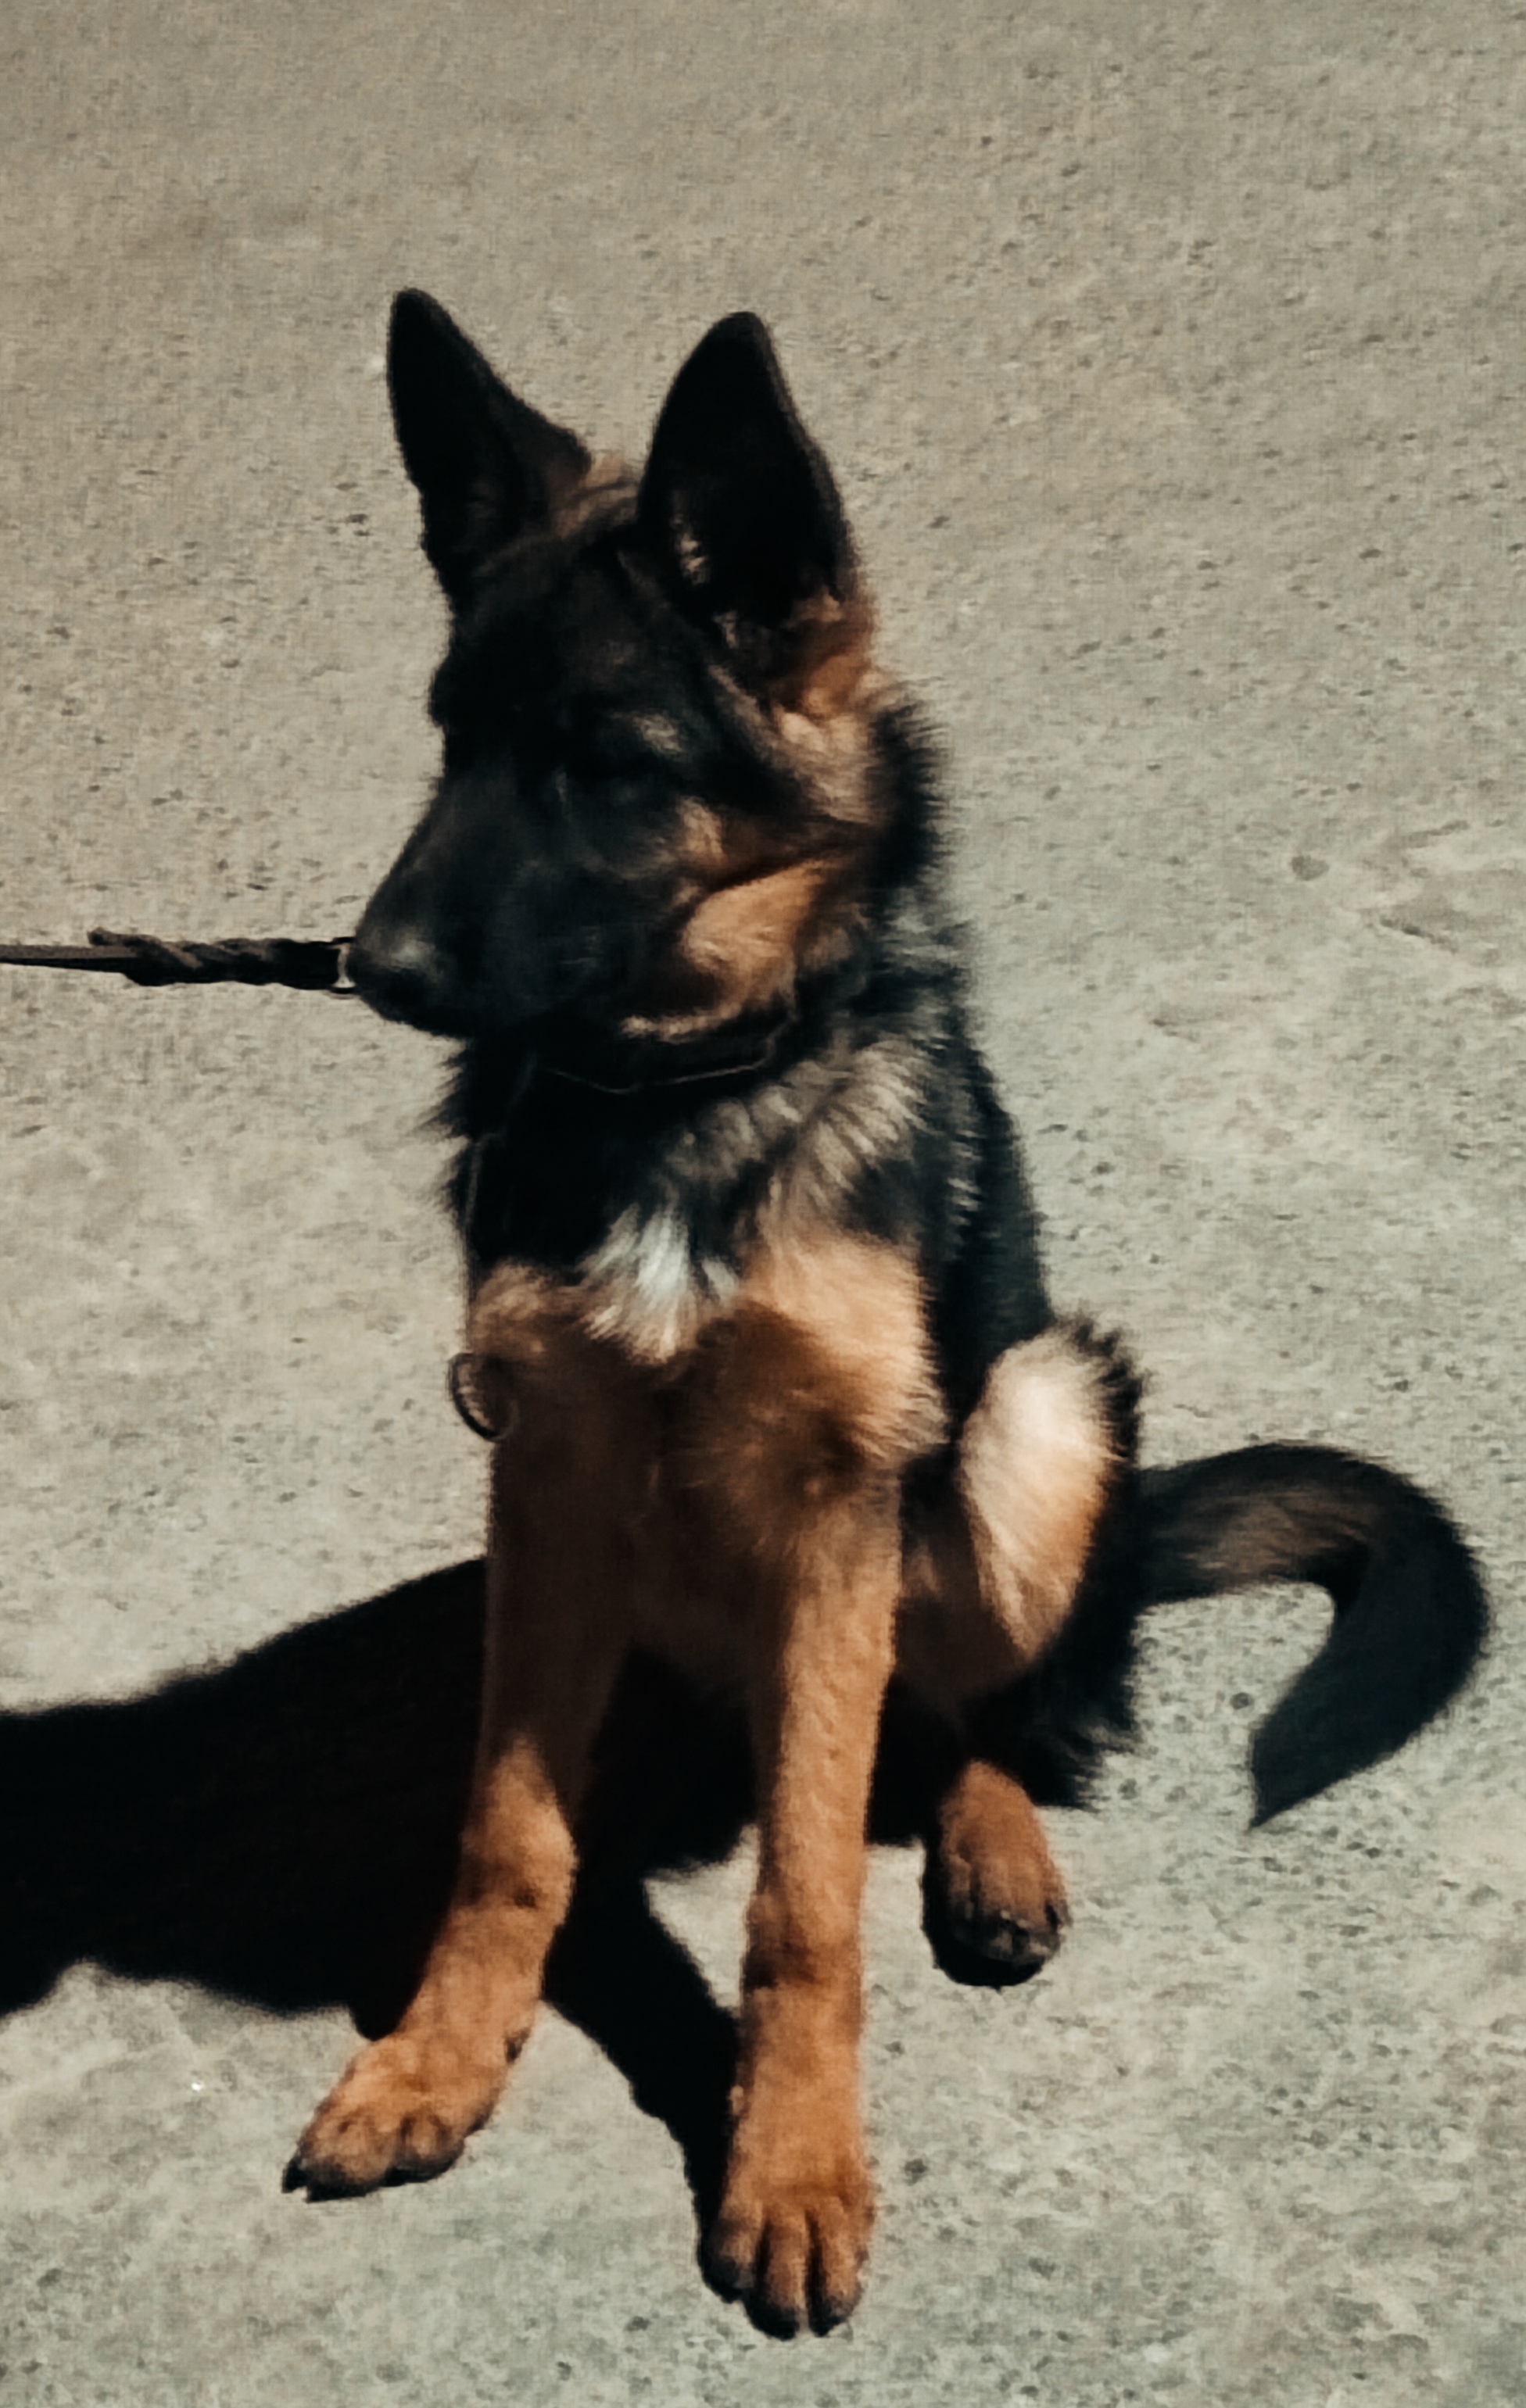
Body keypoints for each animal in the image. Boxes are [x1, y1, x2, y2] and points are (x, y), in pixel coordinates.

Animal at [287, 292, 1486, 2333]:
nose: (377, 971)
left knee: (985, 1702)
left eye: (604, 761)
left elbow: (804, 1901)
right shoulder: (545, 1464)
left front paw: (789, 2161)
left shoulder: (845, 1492)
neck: (684, 1090)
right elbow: (508, 1832)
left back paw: (990, 1839)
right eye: (450, 741)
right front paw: (438, 2057)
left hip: (1028, 1420)